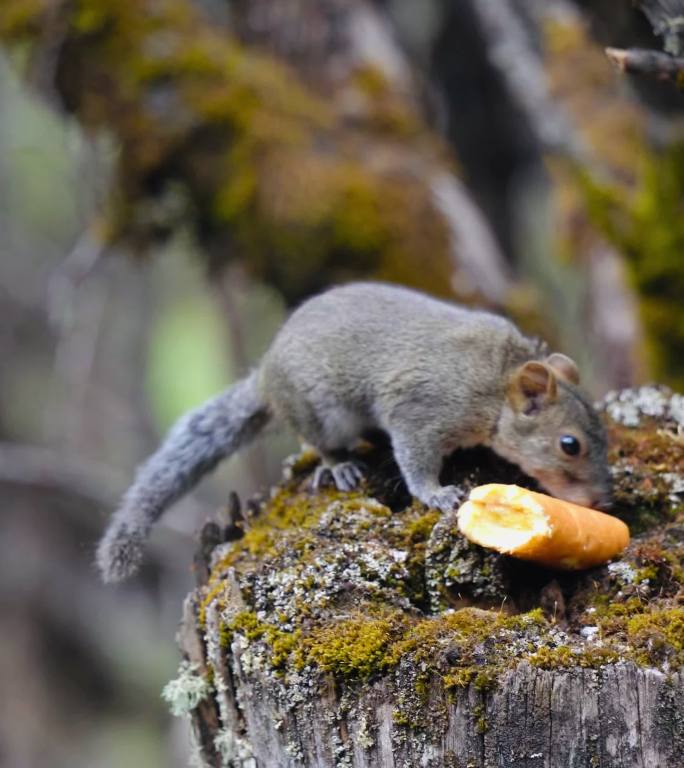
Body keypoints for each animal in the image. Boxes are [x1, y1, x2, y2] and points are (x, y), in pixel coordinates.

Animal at [95, 282, 608, 584]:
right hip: (321, 412)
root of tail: (266, 378)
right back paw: (339, 466)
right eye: (570, 445)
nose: (602, 502)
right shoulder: (422, 412)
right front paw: (438, 493)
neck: (496, 385)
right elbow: (416, 459)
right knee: (318, 443)